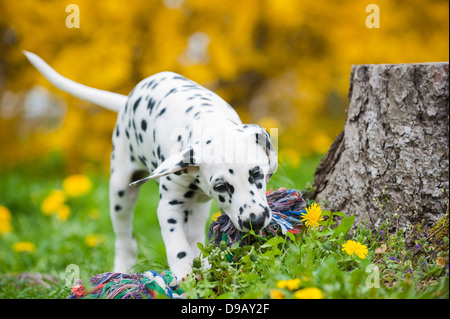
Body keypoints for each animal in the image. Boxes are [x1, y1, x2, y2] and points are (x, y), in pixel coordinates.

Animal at [25, 51, 278, 282]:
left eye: (257, 174)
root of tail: (128, 99)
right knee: (124, 238)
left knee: (194, 230)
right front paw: (184, 274)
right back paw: (122, 268)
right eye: (221, 186)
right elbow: (177, 245)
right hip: (120, 191)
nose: (255, 220)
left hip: (197, 207)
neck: (207, 122)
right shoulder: (170, 206)